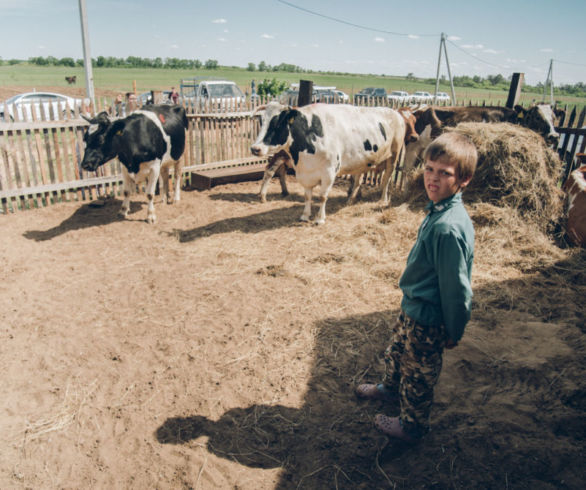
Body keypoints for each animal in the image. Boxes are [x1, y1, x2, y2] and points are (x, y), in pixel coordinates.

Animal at [251, 104, 406, 227]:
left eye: (277, 125)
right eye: (261, 123)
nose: (254, 148)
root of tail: (395, 112)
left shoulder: (329, 173)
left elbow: (322, 197)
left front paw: (320, 219)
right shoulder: (306, 173)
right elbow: (307, 196)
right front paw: (305, 216)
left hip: (394, 155)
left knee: (386, 179)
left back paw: (382, 200)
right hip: (361, 162)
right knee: (358, 181)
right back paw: (350, 200)